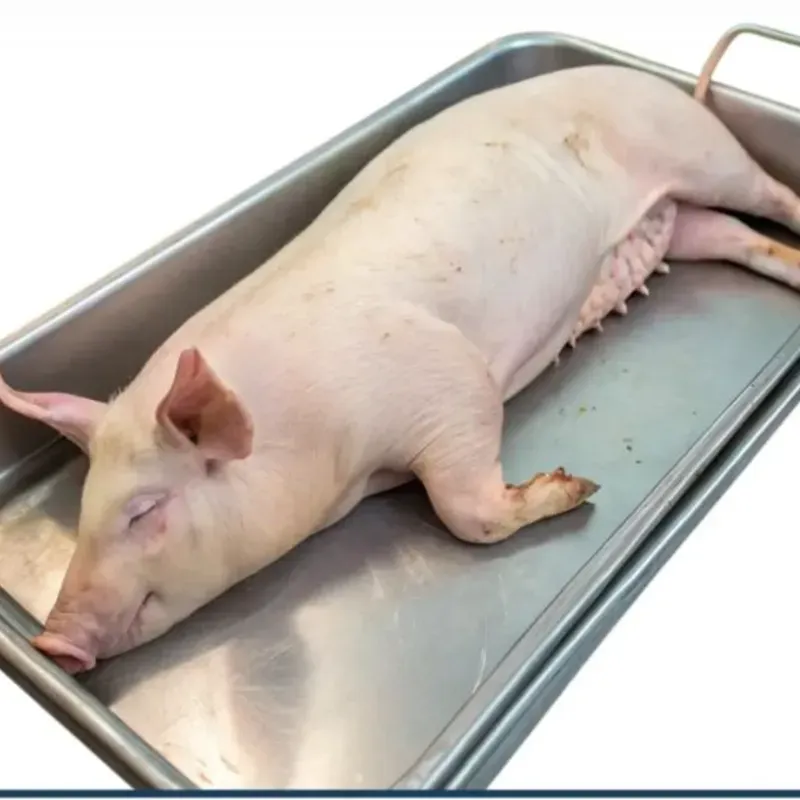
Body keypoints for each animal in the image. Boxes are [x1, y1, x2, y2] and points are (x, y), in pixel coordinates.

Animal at [2, 58, 800, 675]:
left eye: (144, 509)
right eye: (84, 509)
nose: (52, 642)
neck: (337, 464)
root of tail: (660, 81)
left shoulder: (447, 381)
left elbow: (467, 510)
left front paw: (577, 487)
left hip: (706, 154)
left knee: (771, 193)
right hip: (687, 222)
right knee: (737, 239)